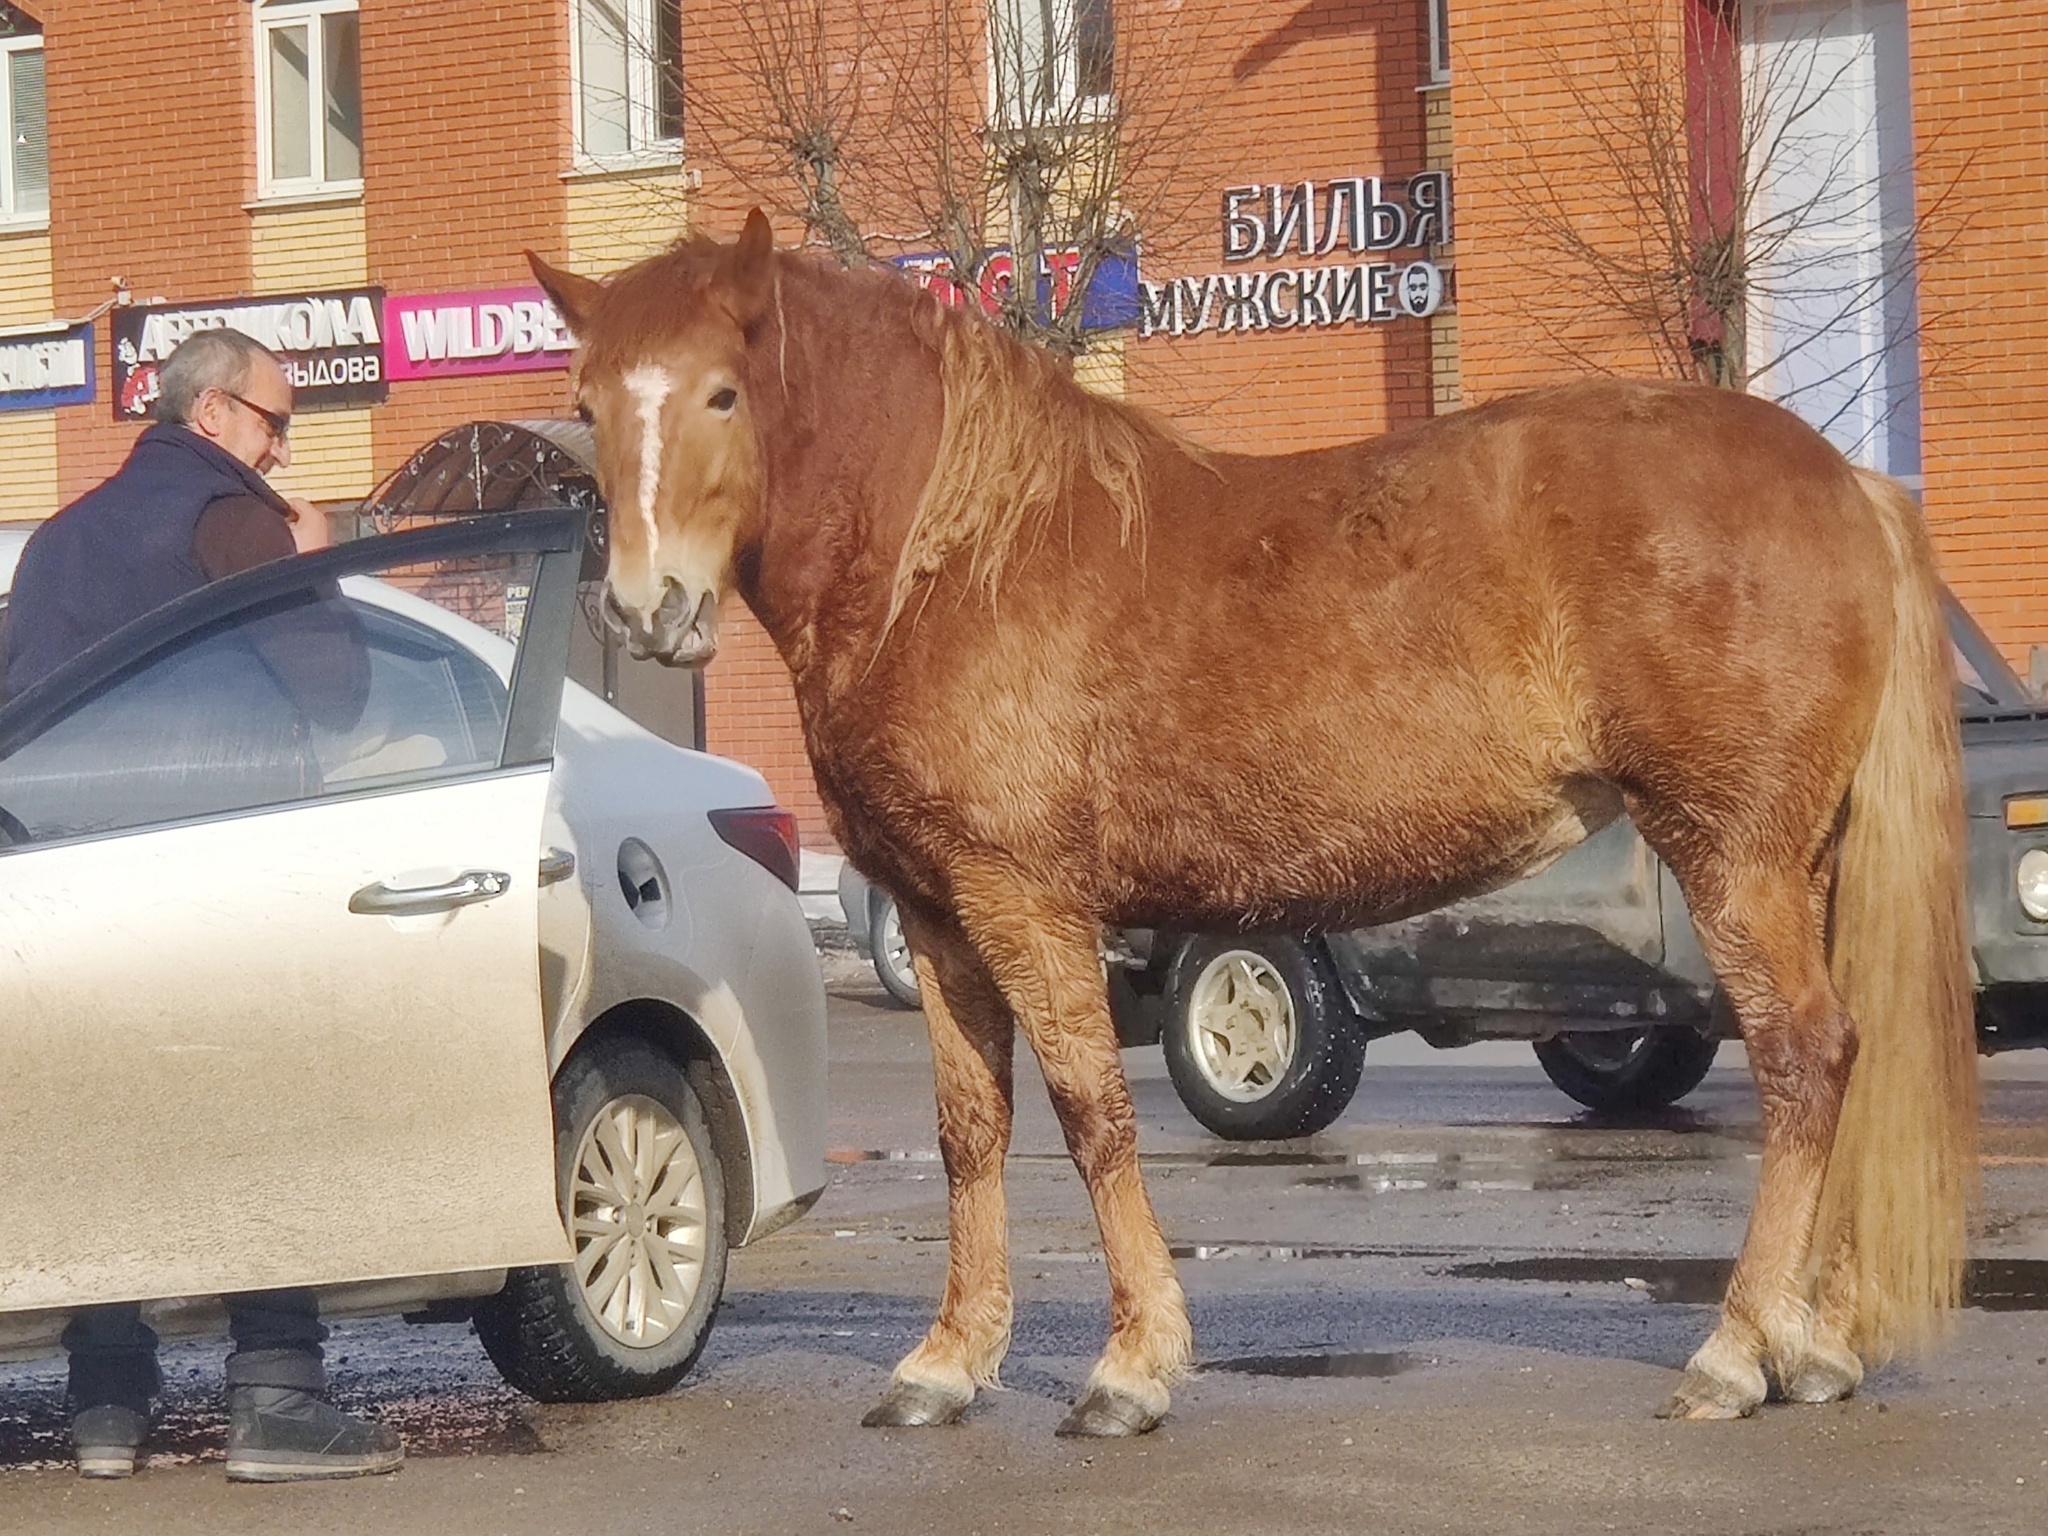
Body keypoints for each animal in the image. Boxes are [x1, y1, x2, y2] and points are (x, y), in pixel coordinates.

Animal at [528, 210, 1966, 1441]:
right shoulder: (937, 915)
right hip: (1801, 863)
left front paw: (1130, 1368)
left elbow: (1091, 1109)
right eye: (588, 406)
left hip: (1734, 856)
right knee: (1831, 1060)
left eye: (722, 393)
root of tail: (1842, 480)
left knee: (1801, 1058)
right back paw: (1809, 1345)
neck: (955, 555)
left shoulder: (1025, 900)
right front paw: (946, 1362)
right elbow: (969, 1129)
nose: (646, 609)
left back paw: (1734, 1350)